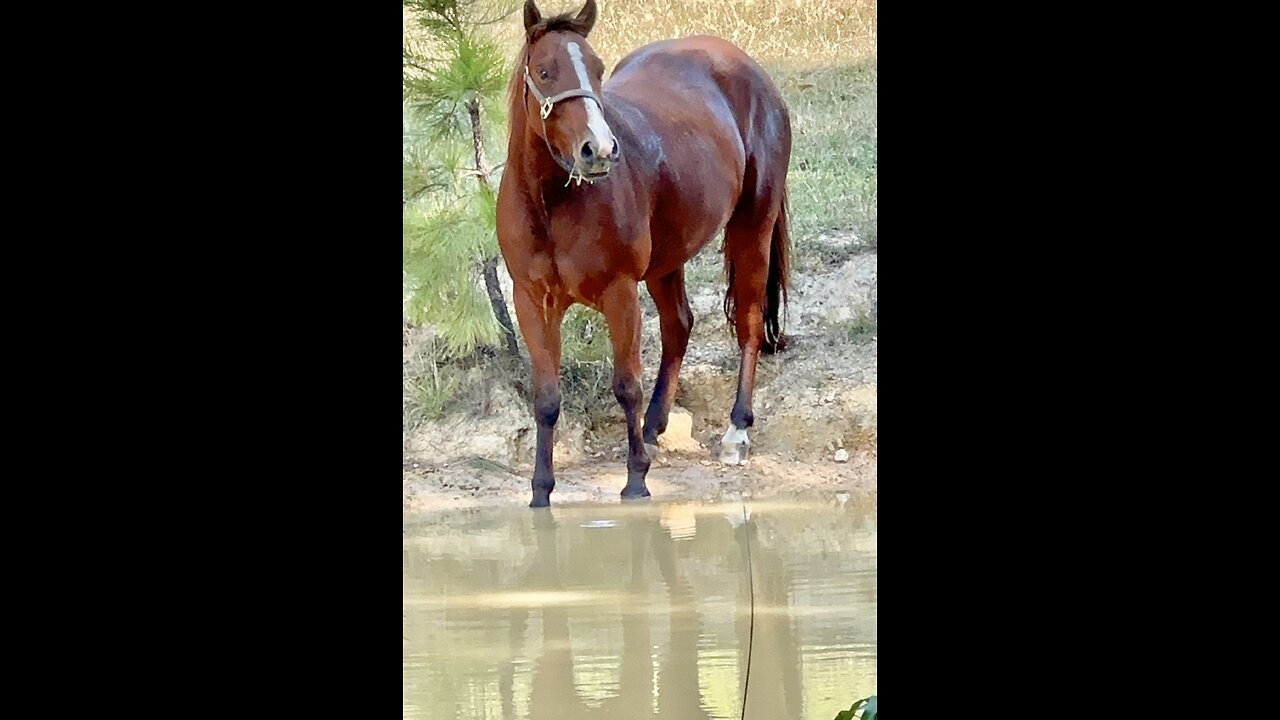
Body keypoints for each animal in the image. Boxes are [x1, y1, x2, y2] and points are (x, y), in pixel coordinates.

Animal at [496, 0, 788, 507]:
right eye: (545, 71)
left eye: (597, 68)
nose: (599, 150)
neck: (551, 203)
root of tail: (752, 71)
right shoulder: (531, 300)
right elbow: (547, 397)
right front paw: (541, 490)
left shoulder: (620, 293)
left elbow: (626, 385)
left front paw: (635, 480)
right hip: (667, 259)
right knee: (679, 325)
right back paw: (654, 427)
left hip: (751, 227)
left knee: (749, 323)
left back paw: (736, 430)